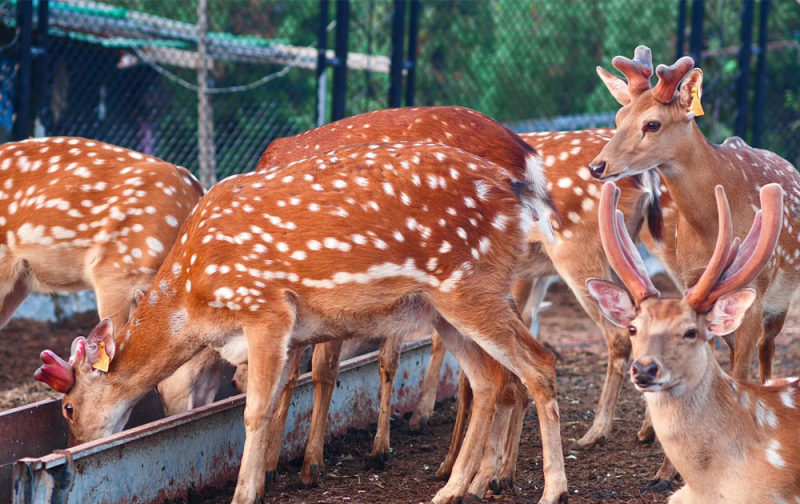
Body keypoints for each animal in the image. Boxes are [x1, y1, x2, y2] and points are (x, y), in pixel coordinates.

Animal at [35, 140, 569, 504]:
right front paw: (263, 481)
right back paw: (455, 489)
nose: (75, 448)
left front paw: (243, 494)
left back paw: (550, 490)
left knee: (540, 363)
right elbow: (275, 401)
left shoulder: (265, 307)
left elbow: (255, 410)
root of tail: (518, 197)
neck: (194, 298)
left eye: (67, 407)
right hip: (444, 308)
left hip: (470, 285)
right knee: (490, 379)